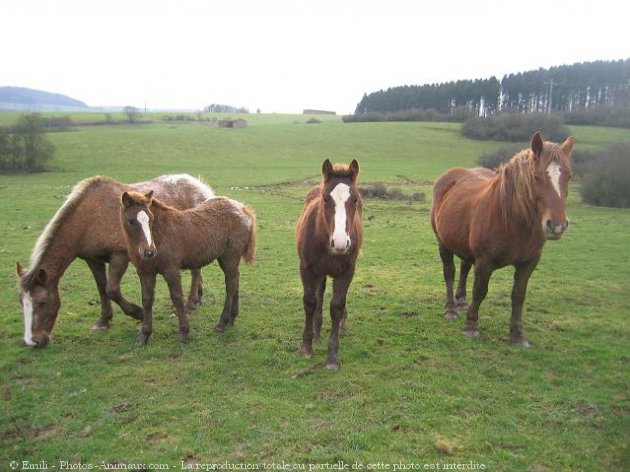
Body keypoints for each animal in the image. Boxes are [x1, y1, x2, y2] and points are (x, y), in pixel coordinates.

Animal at [16, 173, 215, 346]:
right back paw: (197, 297)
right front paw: (103, 321)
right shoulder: (92, 259)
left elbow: (112, 290)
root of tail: (200, 186)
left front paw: (138, 313)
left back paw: (190, 303)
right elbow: (102, 289)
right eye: (21, 302)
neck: (89, 217)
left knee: (195, 272)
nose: (32, 342)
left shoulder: (119, 256)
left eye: (42, 302)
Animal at [119, 190, 256, 344]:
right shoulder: (144, 272)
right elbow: (147, 300)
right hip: (225, 258)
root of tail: (244, 209)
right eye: (131, 221)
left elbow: (177, 297)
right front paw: (145, 335)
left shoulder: (171, 269)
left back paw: (222, 323)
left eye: (151, 219)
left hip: (230, 257)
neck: (160, 235)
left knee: (230, 285)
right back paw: (232, 318)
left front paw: (184, 332)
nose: (149, 252)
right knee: (235, 280)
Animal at [298, 159, 366, 368]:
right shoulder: (306, 269)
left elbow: (337, 306)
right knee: (319, 292)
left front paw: (333, 356)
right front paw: (306, 346)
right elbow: (310, 302)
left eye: (355, 200)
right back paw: (316, 329)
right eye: (326, 199)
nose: (341, 243)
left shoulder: (346, 272)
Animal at [432, 133, 576, 346]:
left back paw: (461, 301)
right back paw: (451, 309)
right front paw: (471, 326)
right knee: (449, 272)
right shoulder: (485, 261)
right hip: (443, 242)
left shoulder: (528, 263)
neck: (512, 219)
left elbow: (518, 295)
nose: (557, 225)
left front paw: (517, 334)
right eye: (536, 177)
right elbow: (480, 291)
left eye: (569, 176)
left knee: (465, 267)